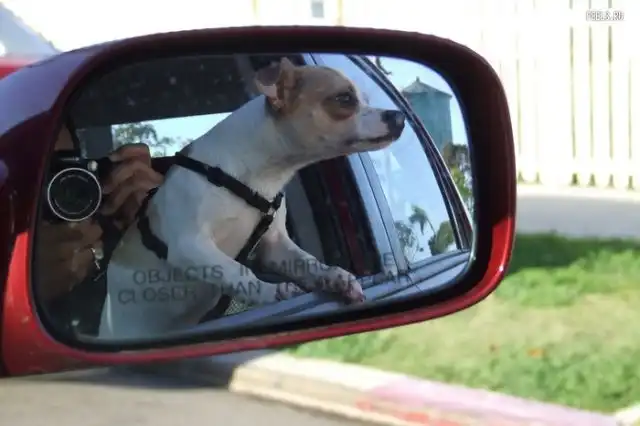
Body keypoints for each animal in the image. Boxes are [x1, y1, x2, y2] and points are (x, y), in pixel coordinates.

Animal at [98, 57, 406, 339]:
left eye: (365, 99)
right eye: (344, 99)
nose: (399, 116)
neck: (257, 177)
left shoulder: (275, 245)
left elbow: (307, 262)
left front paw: (333, 276)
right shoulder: (190, 244)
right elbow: (237, 271)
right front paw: (272, 292)